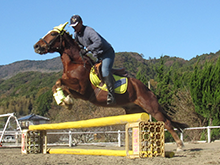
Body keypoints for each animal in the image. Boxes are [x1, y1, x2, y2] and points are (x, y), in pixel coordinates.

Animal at [34, 22, 187, 151]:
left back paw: (179, 145)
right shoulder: (77, 92)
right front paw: (65, 101)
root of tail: (147, 88)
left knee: (166, 122)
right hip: (134, 110)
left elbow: (59, 82)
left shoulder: (82, 89)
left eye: (53, 34)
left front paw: (64, 101)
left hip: (151, 107)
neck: (75, 62)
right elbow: (59, 85)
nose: (36, 46)